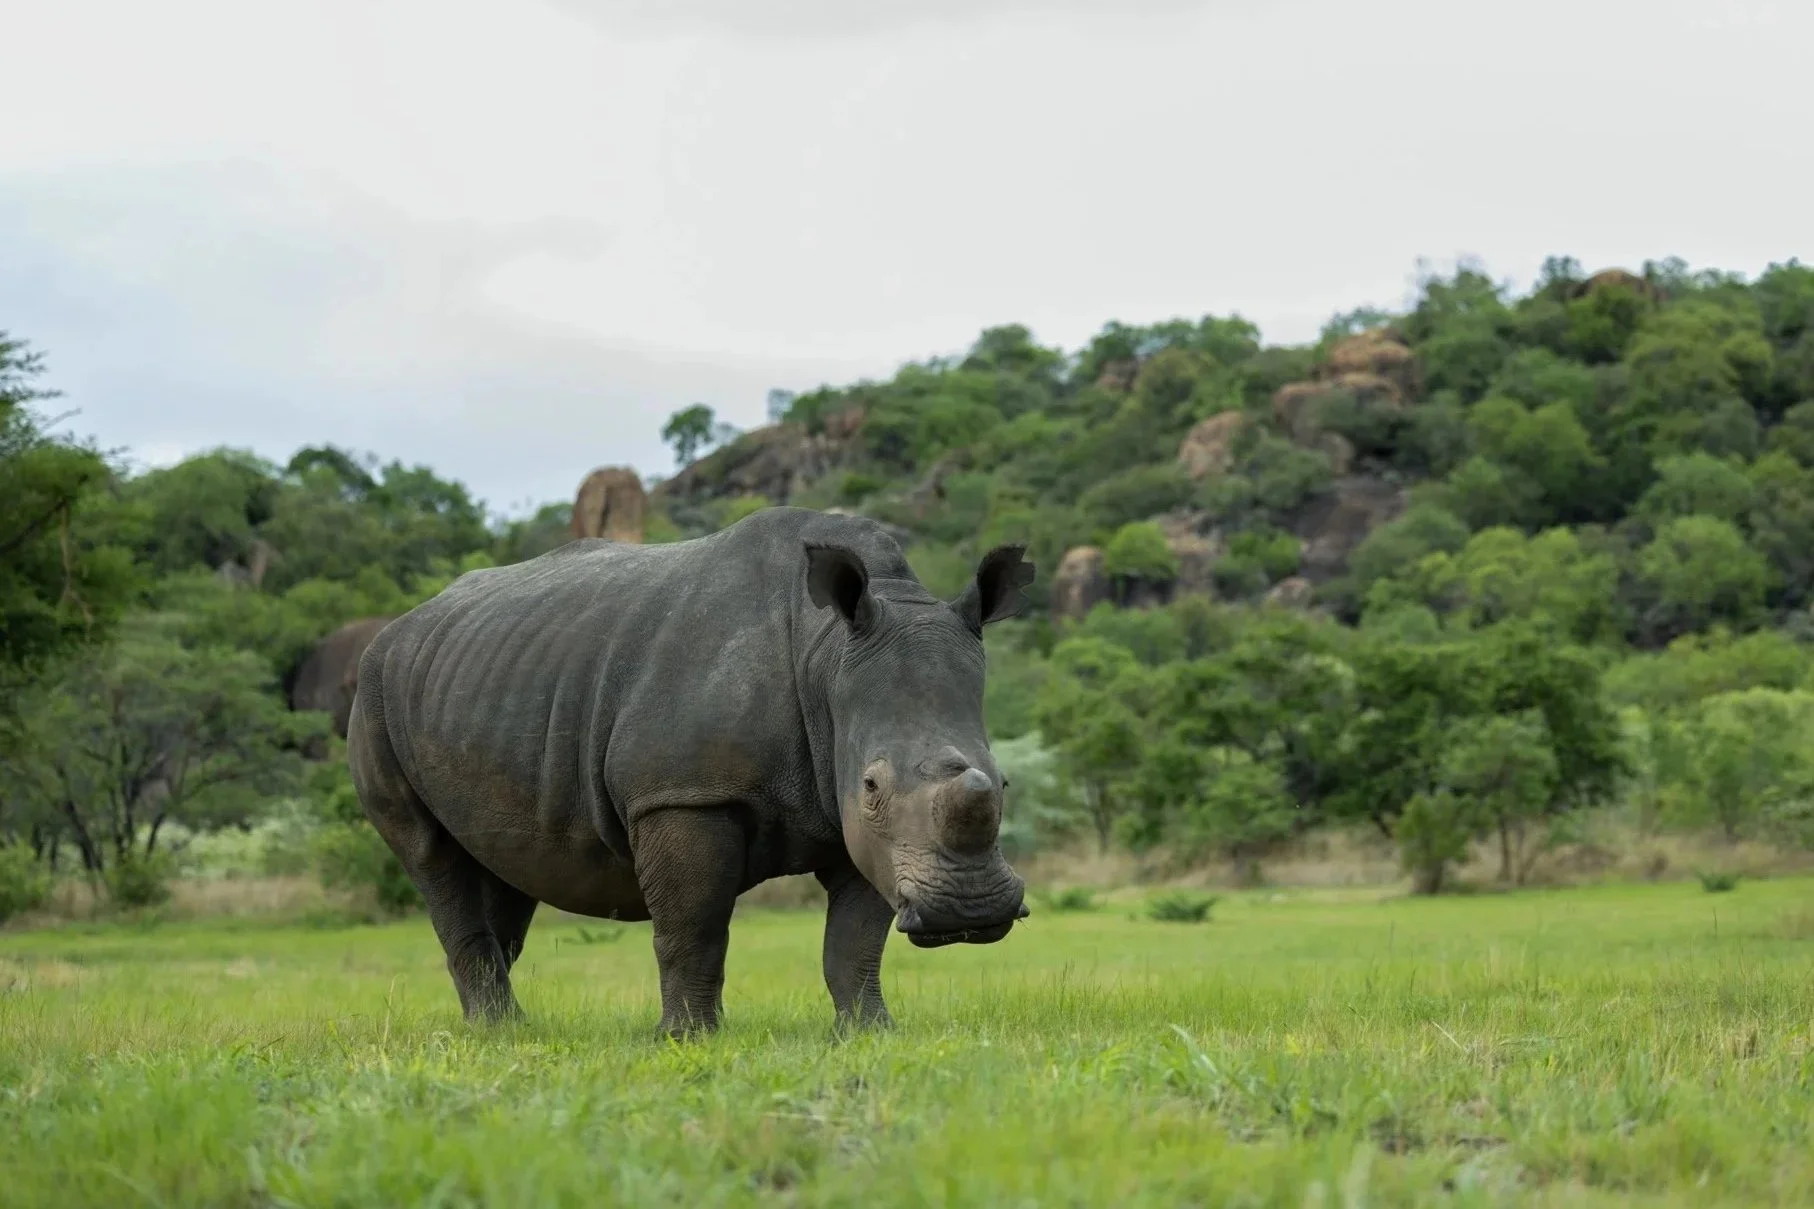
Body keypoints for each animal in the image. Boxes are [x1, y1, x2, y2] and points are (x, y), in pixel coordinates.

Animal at [346, 506, 1035, 1035]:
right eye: (871, 787)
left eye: (1003, 782)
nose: (969, 914)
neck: (826, 654)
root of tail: (401, 625)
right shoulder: (684, 794)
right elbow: (693, 924)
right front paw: (686, 1039)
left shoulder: (854, 821)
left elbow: (856, 937)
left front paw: (869, 1034)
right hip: (373, 692)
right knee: (432, 854)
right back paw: (497, 1032)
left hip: (485, 678)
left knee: (503, 863)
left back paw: (505, 1030)